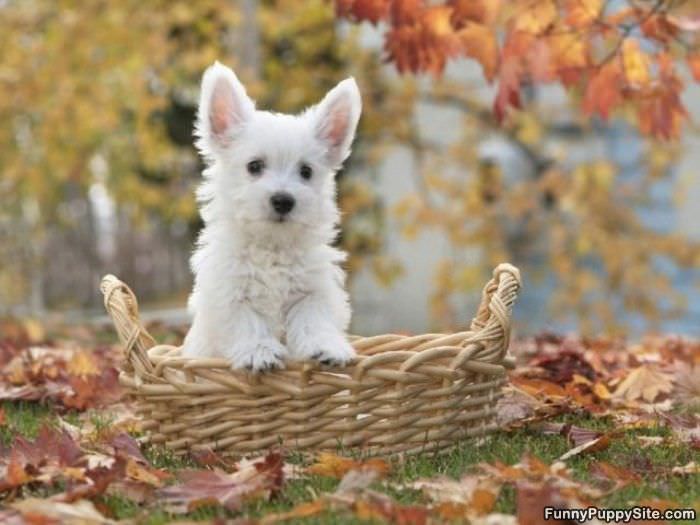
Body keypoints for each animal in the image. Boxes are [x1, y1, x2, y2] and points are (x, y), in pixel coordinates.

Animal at [183, 61, 360, 370]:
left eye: (306, 171)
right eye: (254, 166)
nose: (283, 200)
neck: (272, 246)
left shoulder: (313, 290)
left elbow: (314, 319)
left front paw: (328, 348)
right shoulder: (229, 292)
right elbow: (247, 322)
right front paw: (259, 352)